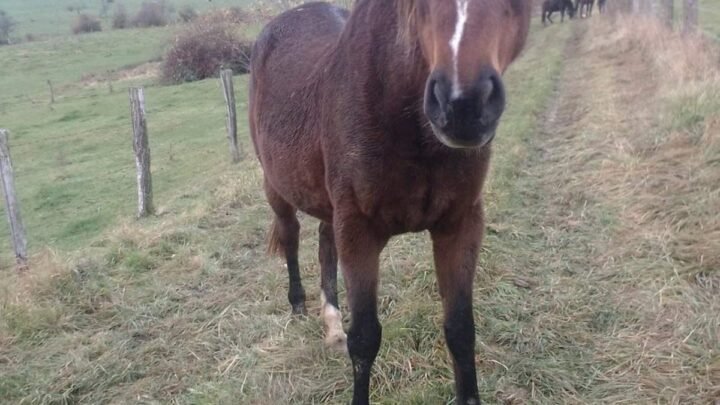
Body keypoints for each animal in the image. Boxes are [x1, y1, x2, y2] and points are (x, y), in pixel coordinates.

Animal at [249, 1, 531, 403]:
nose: (462, 105)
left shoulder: (460, 225)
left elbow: (461, 329)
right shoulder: (359, 233)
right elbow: (365, 339)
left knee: (324, 243)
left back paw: (332, 322)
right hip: (276, 188)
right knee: (290, 236)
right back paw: (298, 304)